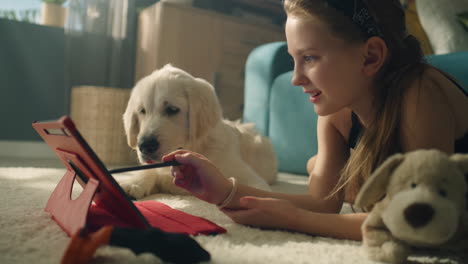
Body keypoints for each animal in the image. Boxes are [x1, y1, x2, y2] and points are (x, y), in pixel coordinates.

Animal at [119, 64, 278, 198]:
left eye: (172, 109)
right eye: (142, 111)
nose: (145, 146)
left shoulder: (250, 177)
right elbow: (148, 171)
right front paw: (133, 184)